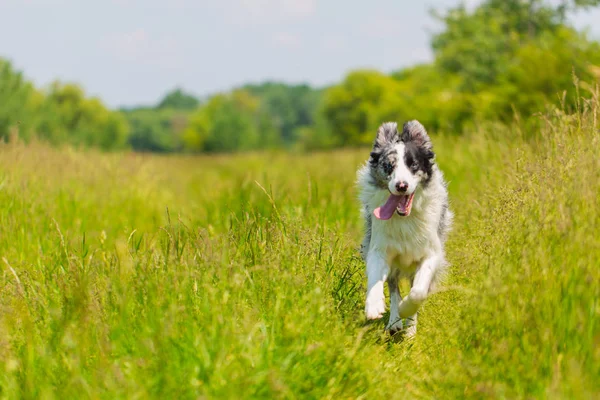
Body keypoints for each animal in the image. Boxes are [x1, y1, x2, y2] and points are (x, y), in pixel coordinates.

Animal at [356, 120, 450, 336]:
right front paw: (374, 305)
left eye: (413, 164)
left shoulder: (431, 254)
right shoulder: (379, 249)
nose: (401, 186)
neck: (404, 220)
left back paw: (409, 328)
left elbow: (418, 292)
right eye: (388, 165)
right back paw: (394, 323)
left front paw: (407, 312)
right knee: (393, 288)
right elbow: (376, 278)